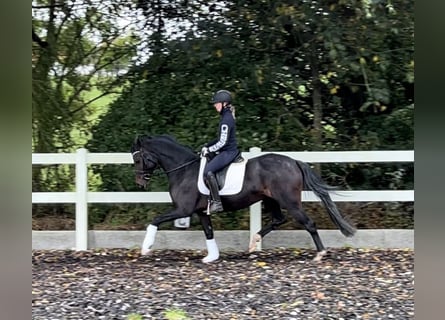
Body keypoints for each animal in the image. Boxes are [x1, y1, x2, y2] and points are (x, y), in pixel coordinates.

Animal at [130, 135, 356, 262]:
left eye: (138, 158)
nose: (140, 183)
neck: (184, 169)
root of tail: (293, 161)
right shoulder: (201, 211)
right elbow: (209, 232)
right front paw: (211, 257)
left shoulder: (183, 210)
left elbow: (155, 220)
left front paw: (146, 248)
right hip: (271, 199)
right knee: (278, 219)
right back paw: (253, 242)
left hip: (290, 201)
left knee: (308, 223)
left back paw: (320, 254)